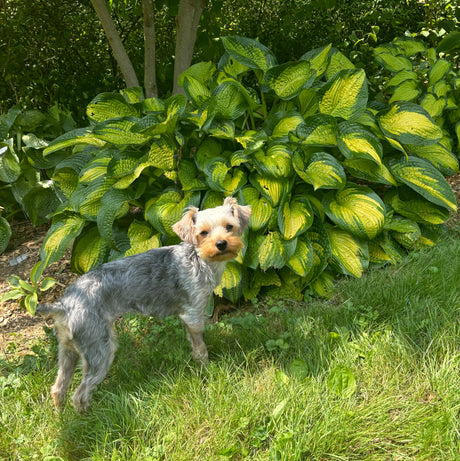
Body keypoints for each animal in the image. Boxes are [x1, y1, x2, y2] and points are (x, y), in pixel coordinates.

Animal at [36, 197, 252, 410]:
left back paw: (61, 414)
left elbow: (192, 342)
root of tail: (64, 305)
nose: (221, 243)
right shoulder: (193, 312)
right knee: (80, 394)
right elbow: (200, 346)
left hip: (68, 349)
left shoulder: (189, 317)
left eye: (229, 227)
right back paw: (88, 415)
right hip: (99, 346)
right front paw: (206, 368)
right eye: (203, 233)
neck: (199, 259)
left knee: (58, 387)